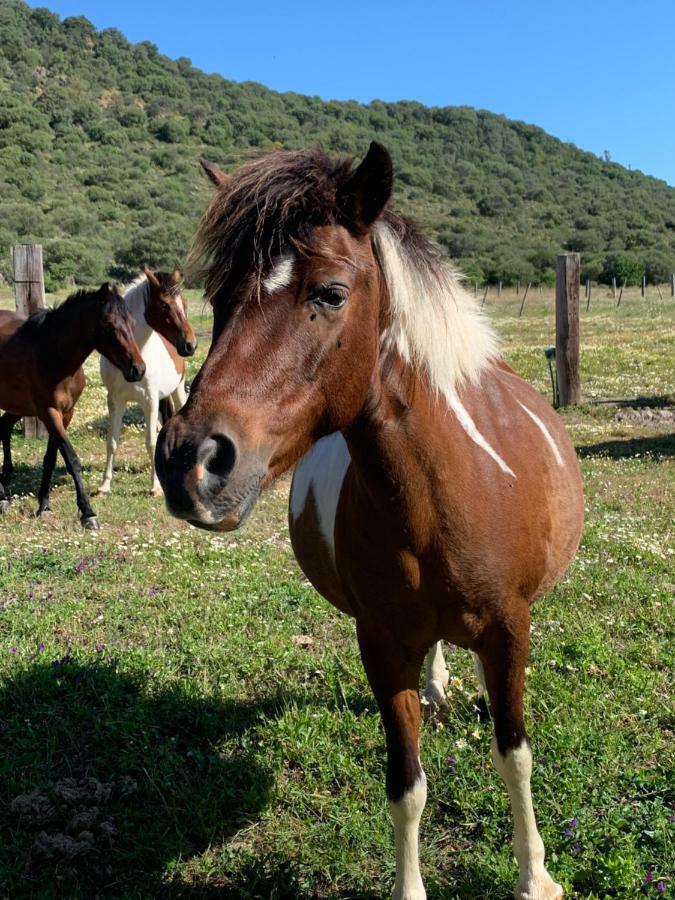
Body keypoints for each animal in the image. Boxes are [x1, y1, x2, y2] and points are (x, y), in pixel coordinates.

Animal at [0, 284, 145, 532]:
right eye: (108, 324)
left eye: (132, 323)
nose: (138, 369)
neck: (52, 355)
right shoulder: (49, 413)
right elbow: (71, 459)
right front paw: (88, 513)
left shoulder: (66, 413)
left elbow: (50, 459)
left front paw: (44, 506)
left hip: (18, 406)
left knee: (2, 428)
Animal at [97, 268, 198, 500]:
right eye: (165, 305)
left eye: (184, 304)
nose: (190, 345)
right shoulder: (115, 401)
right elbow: (112, 441)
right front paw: (105, 486)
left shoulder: (149, 401)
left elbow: (151, 442)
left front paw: (155, 487)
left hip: (177, 390)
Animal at [157, 144, 588, 896]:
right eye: (216, 299)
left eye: (329, 293)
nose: (189, 462)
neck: (444, 499)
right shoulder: (381, 643)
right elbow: (406, 786)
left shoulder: (510, 632)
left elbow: (515, 755)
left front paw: (535, 876)